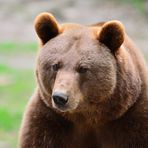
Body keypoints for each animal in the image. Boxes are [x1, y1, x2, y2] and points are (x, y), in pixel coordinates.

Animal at [18, 12, 148, 148]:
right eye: (55, 65)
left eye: (83, 68)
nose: (60, 97)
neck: (87, 117)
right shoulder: (48, 119)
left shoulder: (132, 118)